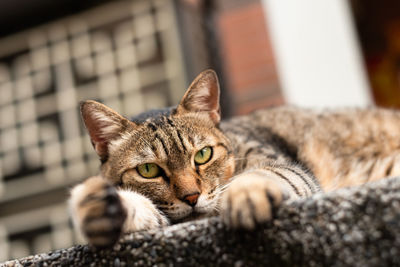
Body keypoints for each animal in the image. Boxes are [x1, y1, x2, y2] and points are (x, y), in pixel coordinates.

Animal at [69, 69, 400, 249]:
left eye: (203, 155)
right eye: (148, 170)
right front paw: (102, 206)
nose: (191, 197)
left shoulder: (288, 167)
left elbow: (265, 174)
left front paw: (246, 193)